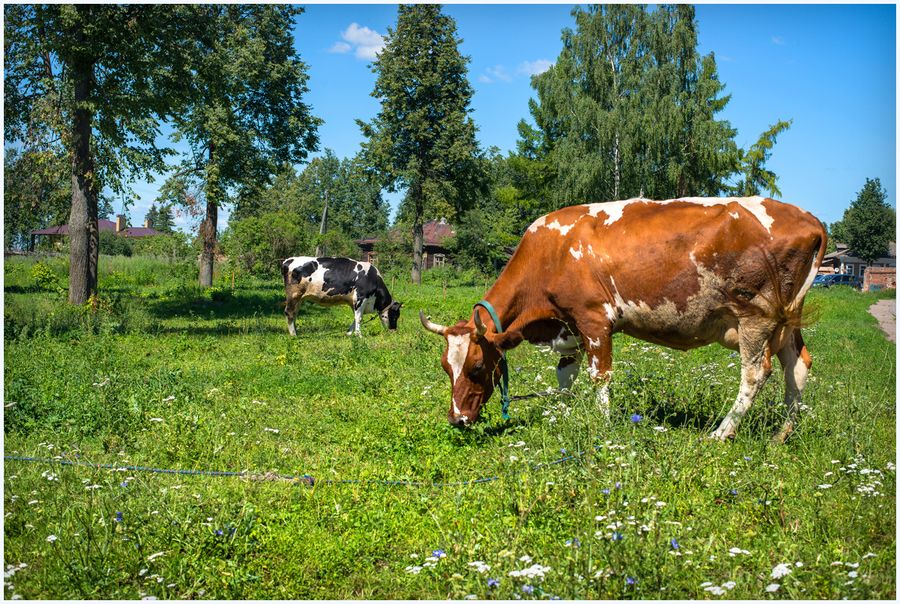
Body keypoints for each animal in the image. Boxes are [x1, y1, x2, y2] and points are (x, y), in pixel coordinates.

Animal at [418, 196, 828, 442]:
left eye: (475, 367)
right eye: (445, 367)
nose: (456, 419)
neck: (551, 252)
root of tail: (808, 217)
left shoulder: (594, 320)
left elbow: (600, 377)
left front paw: (601, 424)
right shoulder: (568, 326)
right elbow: (565, 375)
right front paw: (563, 412)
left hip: (755, 318)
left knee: (756, 373)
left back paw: (721, 433)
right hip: (786, 321)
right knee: (797, 366)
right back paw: (781, 435)